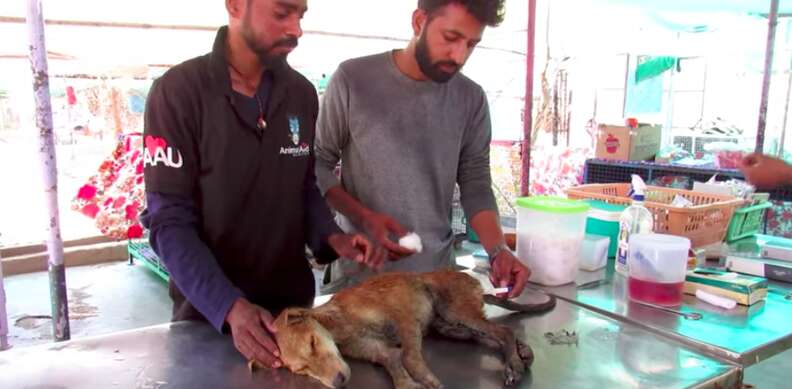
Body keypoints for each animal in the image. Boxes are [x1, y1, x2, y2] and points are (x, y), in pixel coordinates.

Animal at [270, 270, 552, 388]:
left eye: (312, 342)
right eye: (302, 370)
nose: (338, 382)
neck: (340, 323)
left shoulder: (404, 319)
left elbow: (409, 356)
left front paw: (426, 379)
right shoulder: (378, 350)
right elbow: (394, 361)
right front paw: (407, 383)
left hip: (456, 311)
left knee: (503, 332)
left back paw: (514, 364)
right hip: (451, 326)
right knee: (492, 335)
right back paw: (523, 354)